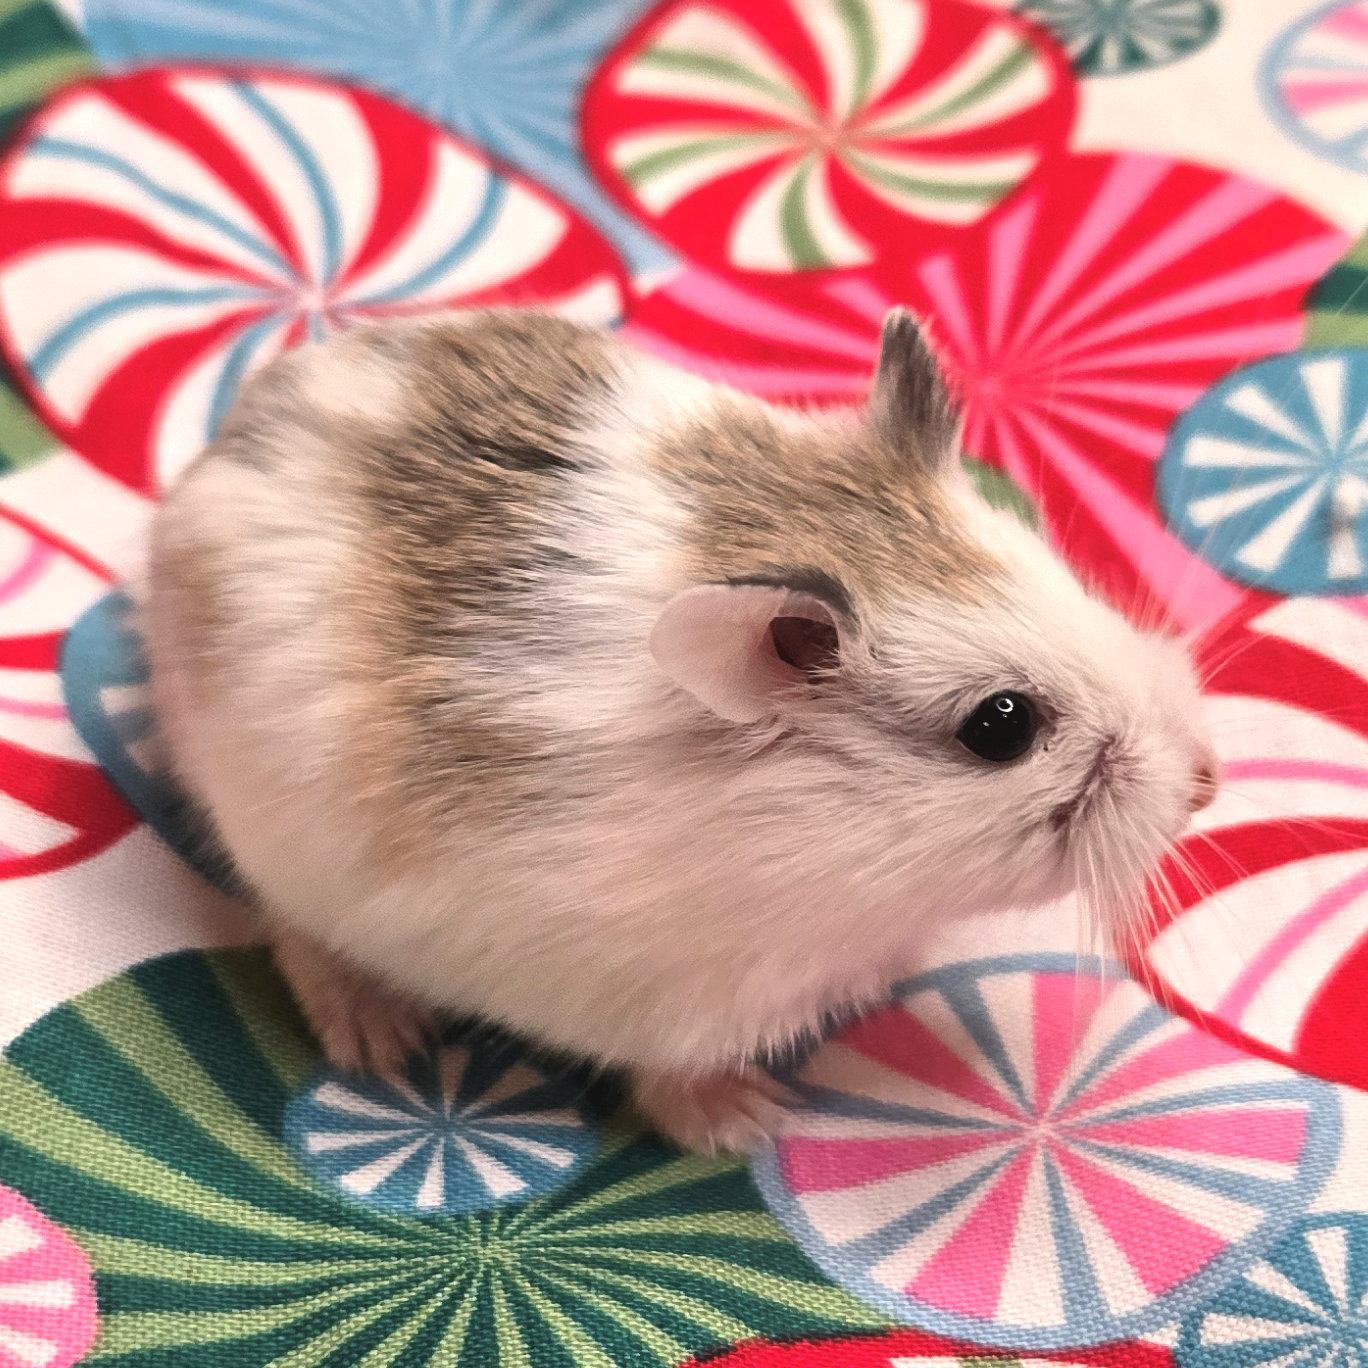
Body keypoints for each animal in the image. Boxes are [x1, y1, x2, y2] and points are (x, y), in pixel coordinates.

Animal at [145, 307, 1218, 1153]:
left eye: (1063, 576)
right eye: (1001, 726)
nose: (1204, 785)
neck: (825, 844)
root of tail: (222, 446)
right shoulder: (661, 1007)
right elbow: (673, 1084)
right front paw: (754, 1125)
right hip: (268, 830)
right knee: (295, 932)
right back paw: (380, 1041)